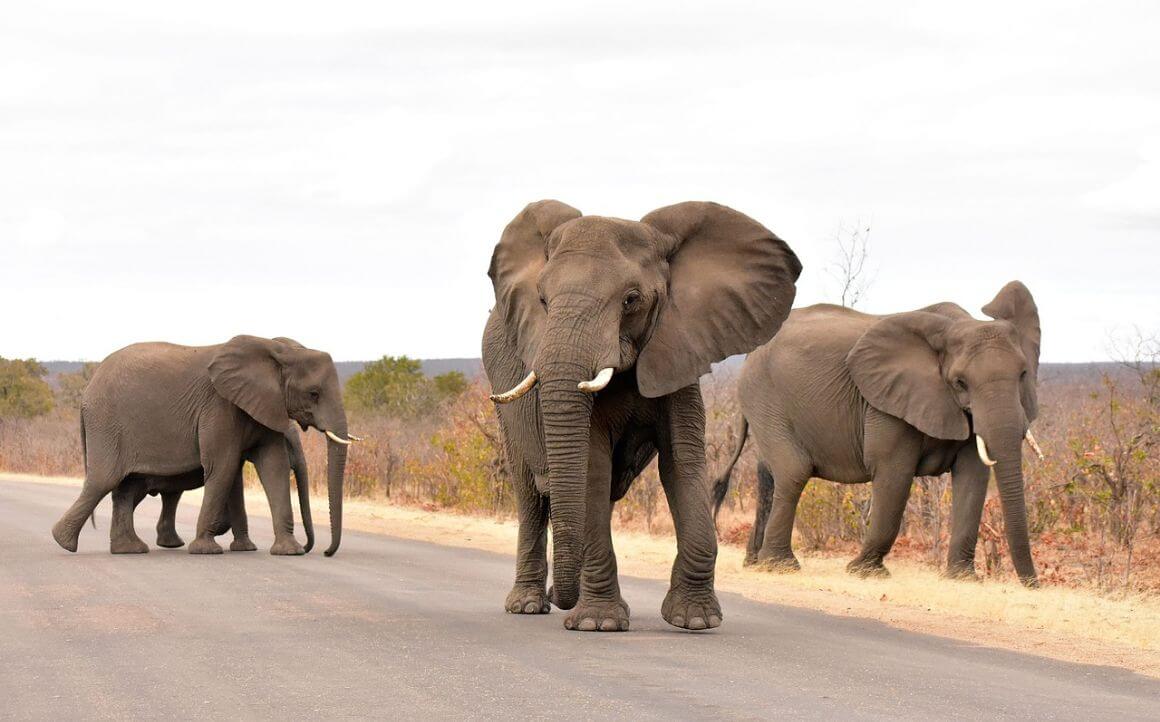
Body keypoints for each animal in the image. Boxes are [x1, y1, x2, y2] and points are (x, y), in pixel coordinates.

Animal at [484, 199, 802, 631]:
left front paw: (695, 619)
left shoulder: (680, 351)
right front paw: (597, 624)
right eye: (543, 301)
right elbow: (593, 465)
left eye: (631, 300)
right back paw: (529, 605)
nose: (562, 602)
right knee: (531, 494)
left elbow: (682, 464)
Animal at [709, 283, 1048, 589]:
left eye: (1023, 375)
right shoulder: (885, 404)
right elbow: (894, 473)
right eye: (960, 382)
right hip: (764, 397)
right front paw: (864, 571)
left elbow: (973, 477)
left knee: (768, 473)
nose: (1034, 584)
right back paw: (780, 566)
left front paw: (963, 578)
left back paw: (755, 563)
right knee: (793, 471)